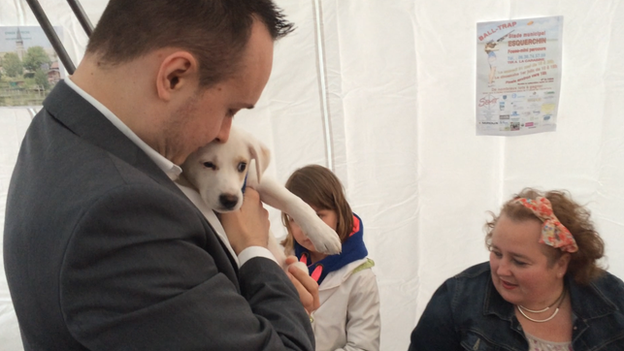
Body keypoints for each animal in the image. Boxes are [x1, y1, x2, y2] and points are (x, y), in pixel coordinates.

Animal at [176, 126, 342, 266]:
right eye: (208, 164)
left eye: (242, 166)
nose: (230, 201)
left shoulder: (257, 181)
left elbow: (293, 201)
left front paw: (323, 234)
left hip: (297, 265)